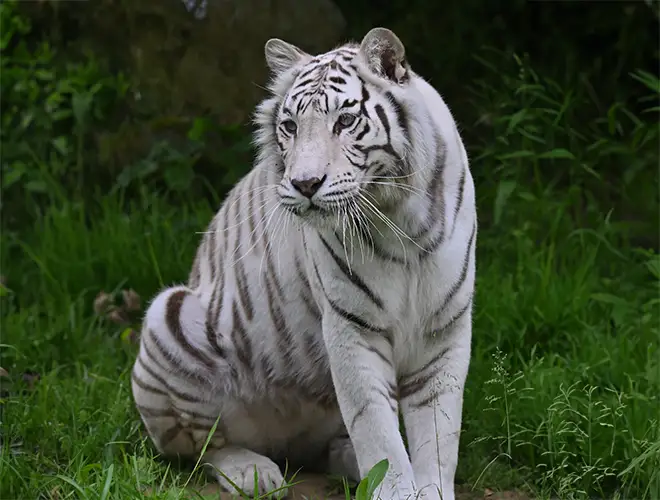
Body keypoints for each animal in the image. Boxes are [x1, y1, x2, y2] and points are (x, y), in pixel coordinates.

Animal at [131, 27, 476, 500]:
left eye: (345, 122)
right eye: (290, 126)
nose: (305, 184)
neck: (400, 218)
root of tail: (286, 441)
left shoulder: (445, 328)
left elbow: (439, 434)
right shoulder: (352, 327)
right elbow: (377, 430)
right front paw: (394, 488)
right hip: (169, 317)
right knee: (203, 449)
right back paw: (253, 472)